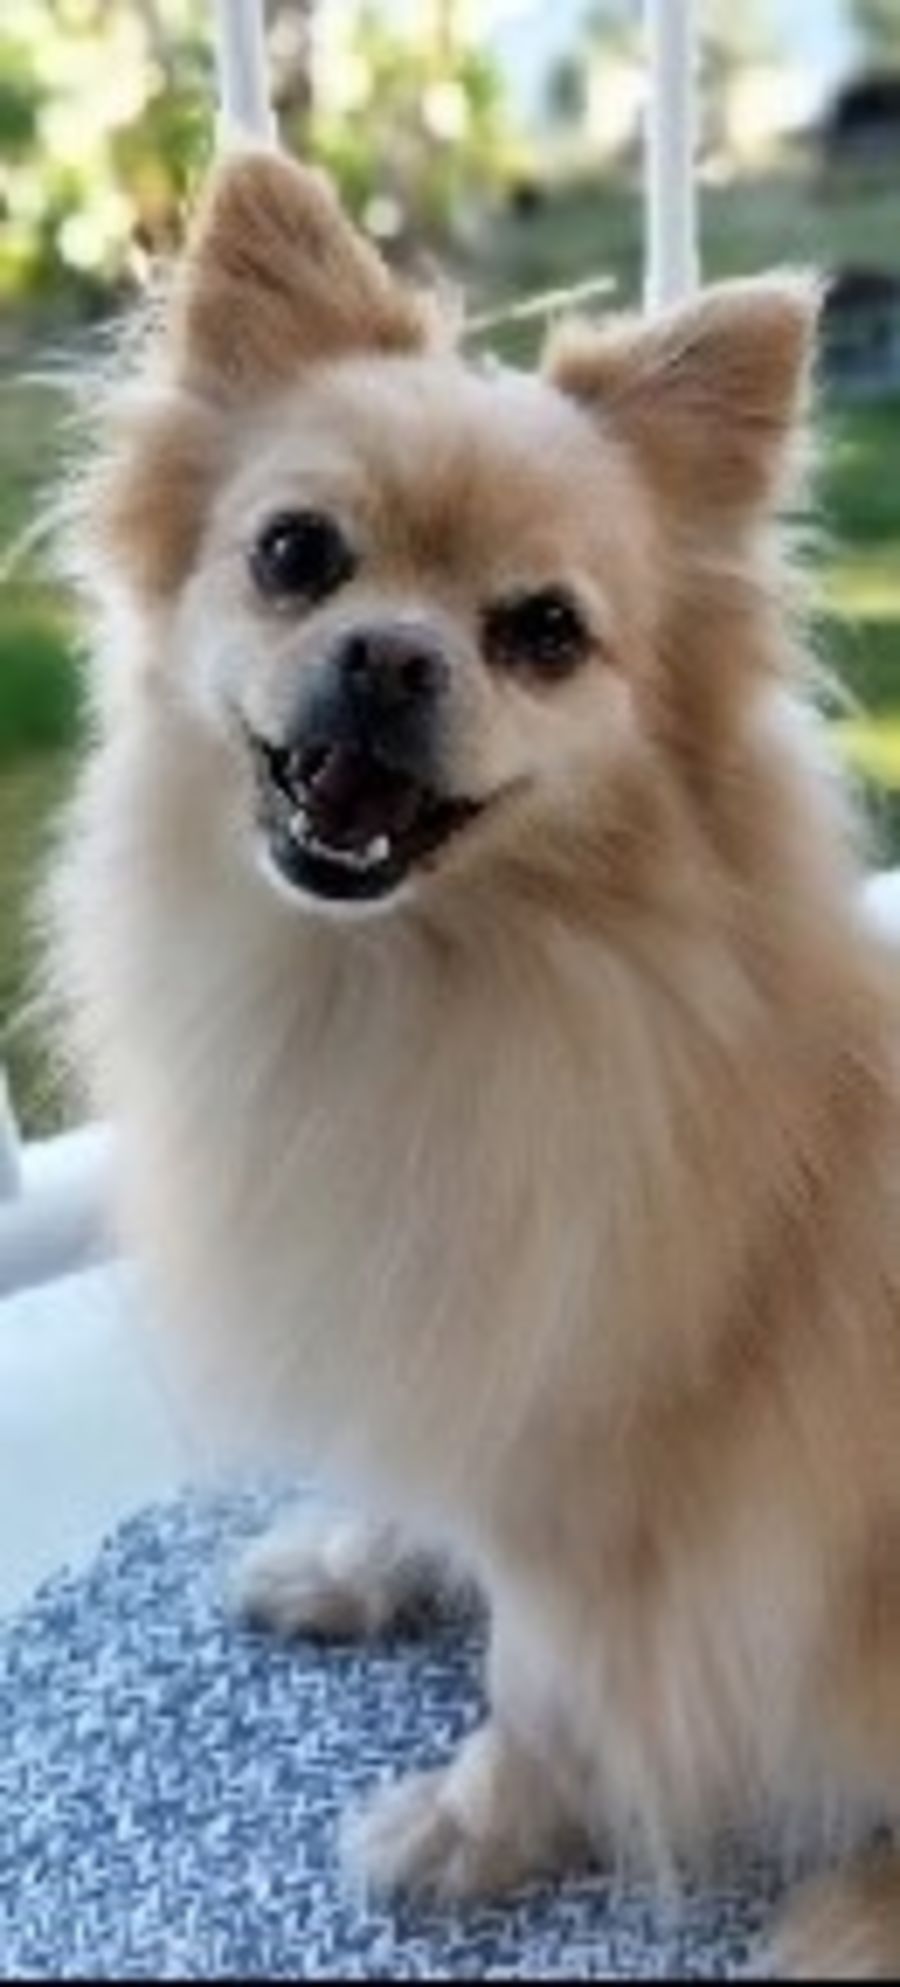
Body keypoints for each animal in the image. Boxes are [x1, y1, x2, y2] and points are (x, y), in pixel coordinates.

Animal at [52, 148, 900, 1976]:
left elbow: (541, 1683)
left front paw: (469, 1827)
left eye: (545, 635)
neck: (400, 987)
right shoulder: (445, 1337)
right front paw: (362, 1558)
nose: (390, 652)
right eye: (295, 553)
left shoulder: (606, 1496)